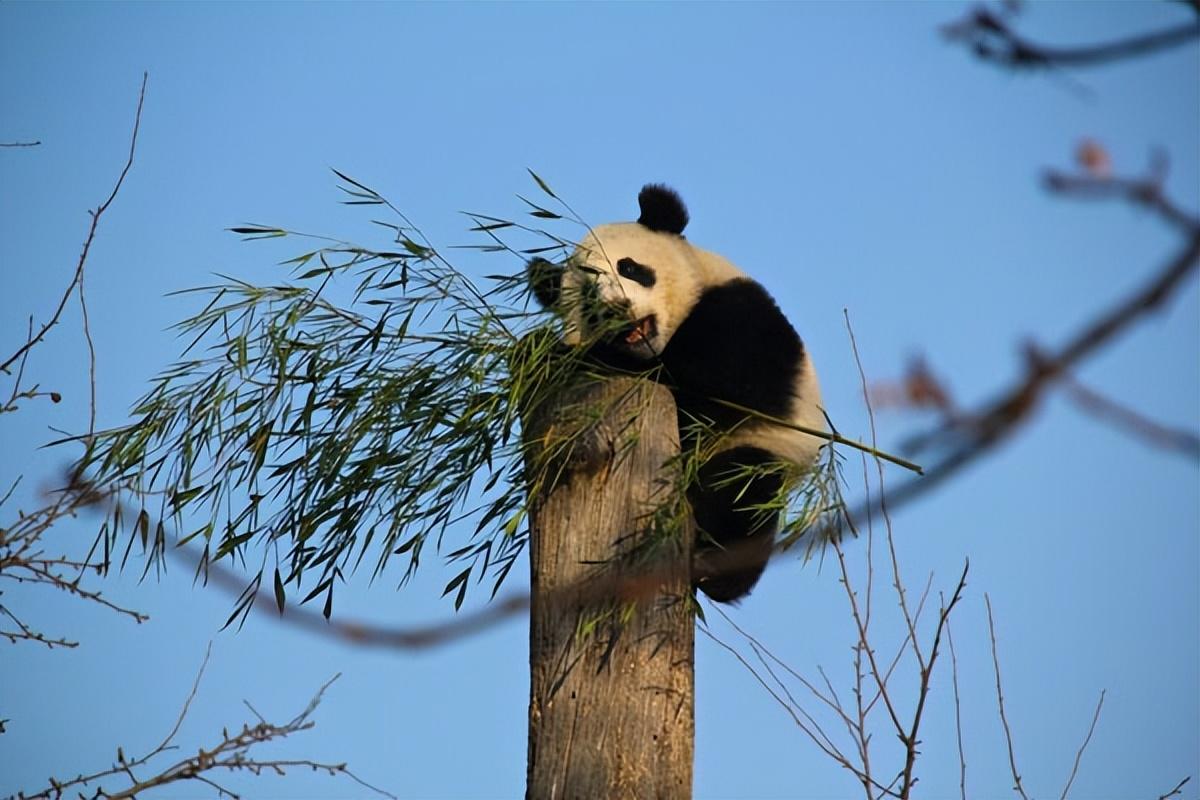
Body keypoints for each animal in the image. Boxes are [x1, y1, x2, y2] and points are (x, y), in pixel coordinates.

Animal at [532, 184, 825, 604]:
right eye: (588, 296)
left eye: (630, 268)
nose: (615, 309)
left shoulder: (742, 318)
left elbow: (708, 384)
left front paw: (560, 355)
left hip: (764, 448)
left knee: (739, 488)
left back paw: (714, 569)